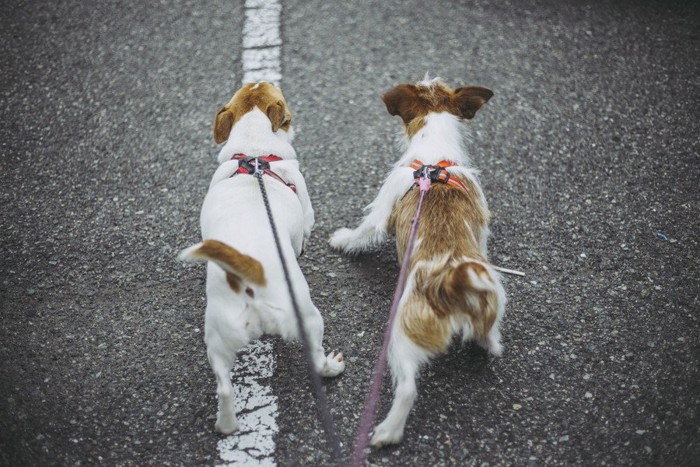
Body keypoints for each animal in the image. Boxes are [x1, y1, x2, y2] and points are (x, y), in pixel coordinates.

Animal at [180, 83, 344, 436]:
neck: (255, 154)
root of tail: (251, 272)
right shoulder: (306, 215)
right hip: (308, 318)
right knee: (317, 358)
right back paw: (332, 366)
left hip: (218, 337)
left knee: (224, 389)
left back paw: (227, 425)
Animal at [330, 77, 504, 446]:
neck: (433, 157)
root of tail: (451, 284)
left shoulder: (382, 206)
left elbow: (364, 230)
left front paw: (342, 240)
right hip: (493, 295)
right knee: (490, 338)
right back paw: (488, 342)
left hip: (401, 338)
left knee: (408, 389)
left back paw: (387, 431)